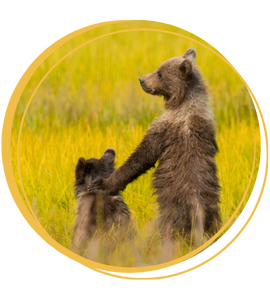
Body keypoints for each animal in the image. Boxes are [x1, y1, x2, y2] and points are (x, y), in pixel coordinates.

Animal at [88, 48, 221, 247]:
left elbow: (141, 157)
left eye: (159, 73)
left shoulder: (164, 130)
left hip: (171, 211)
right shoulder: (207, 131)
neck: (183, 103)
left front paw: (101, 184)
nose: (142, 79)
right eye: (158, 68)